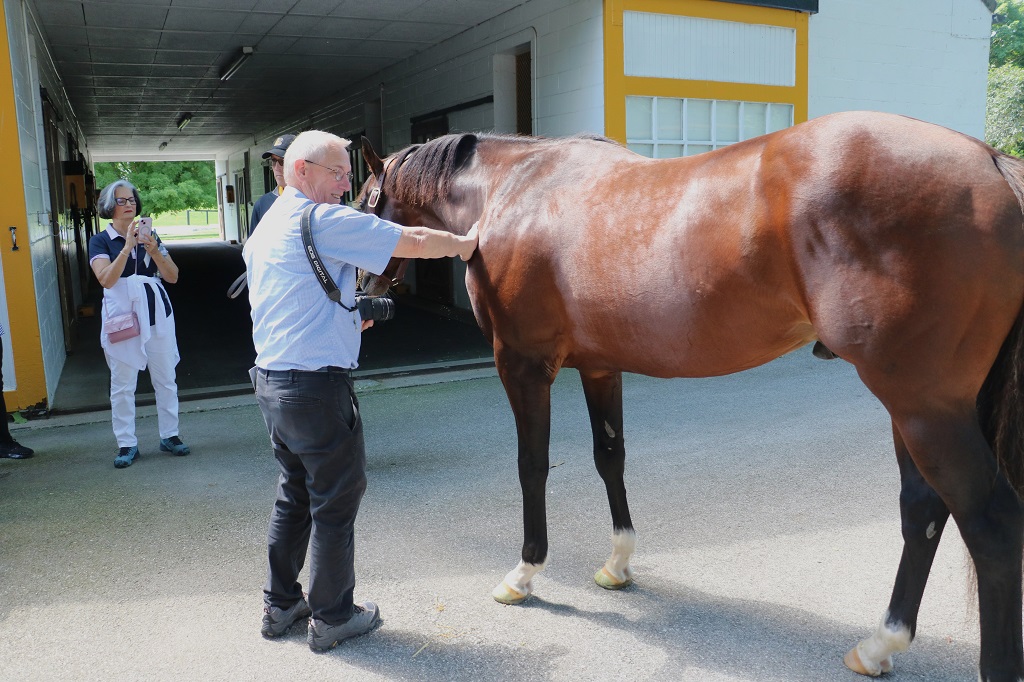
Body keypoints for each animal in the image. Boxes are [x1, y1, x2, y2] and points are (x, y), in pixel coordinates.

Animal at [355, 110, 1024, 681]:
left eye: (362, 202)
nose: (364, 298)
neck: (510, 193)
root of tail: (991, 161)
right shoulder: (600, 368)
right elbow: (609, 457)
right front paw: (618, 564)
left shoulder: (523, 366)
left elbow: (533, 466)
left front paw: (525, 572)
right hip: (916, 408)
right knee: (924, 511)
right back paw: (879, 645)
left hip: (921, 407)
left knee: (989, 525)